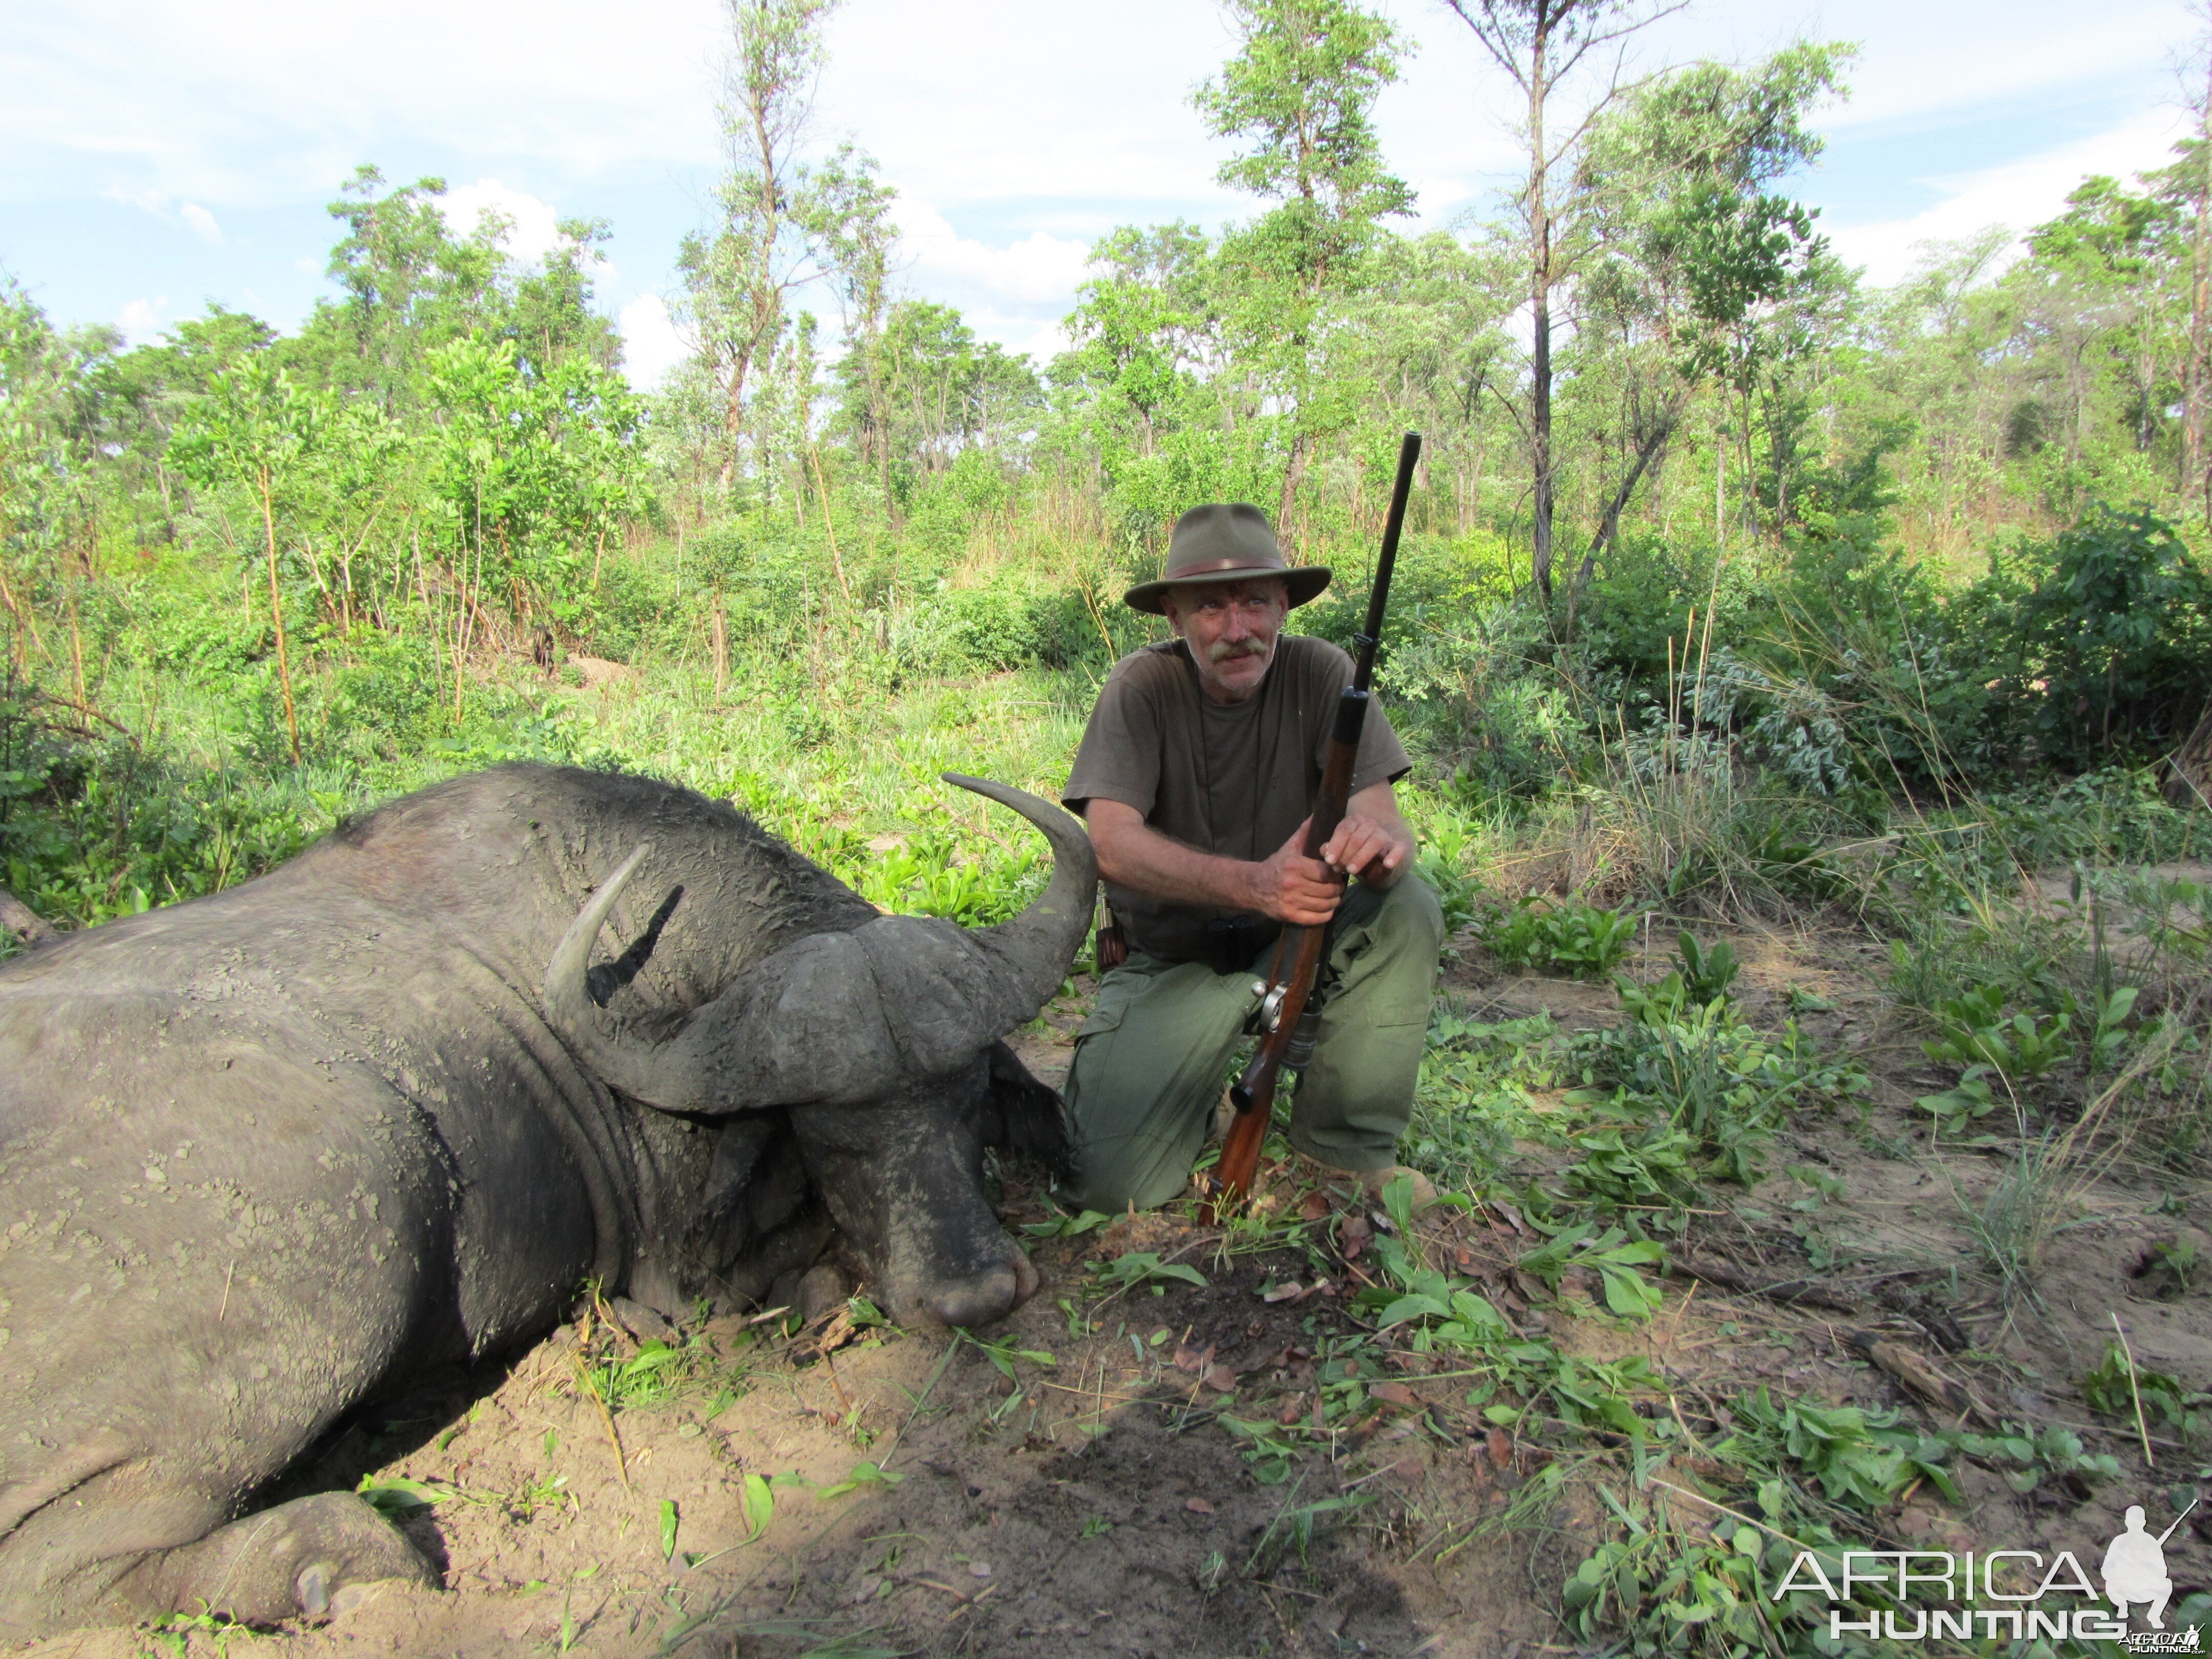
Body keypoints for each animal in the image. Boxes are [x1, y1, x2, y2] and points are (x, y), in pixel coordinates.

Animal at [0, 765, 1097, 1636]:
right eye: (828, 1133)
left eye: (966, 1096)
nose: (972, 1294)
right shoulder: (680, 1281)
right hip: (361, 1207)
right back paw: (333, 1563)